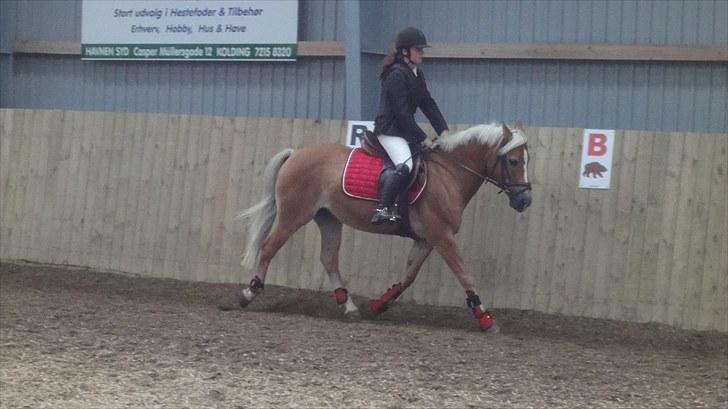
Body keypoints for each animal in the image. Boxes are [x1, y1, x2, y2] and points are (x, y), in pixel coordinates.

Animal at [237, 122, 528, 332]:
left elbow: (408, 276)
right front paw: (486, 319)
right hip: (294, 215)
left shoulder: (427, 239)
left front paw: (378, 304)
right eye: (514, 161)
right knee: (268, 247)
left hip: (328, 218)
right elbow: (465, 275)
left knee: (329, 259)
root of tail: (295, 153)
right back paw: (248, 293)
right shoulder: (442, 236)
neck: (449, 174)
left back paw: (350, 307)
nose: (525, 200)